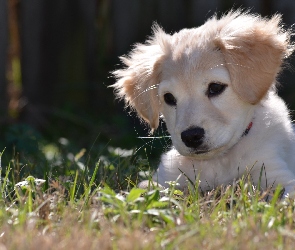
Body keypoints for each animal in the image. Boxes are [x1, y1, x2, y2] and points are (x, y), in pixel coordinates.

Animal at [112, 10, 295, 195]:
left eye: (215, 87)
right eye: (169, 98)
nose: (191, 137)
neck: (218, 161)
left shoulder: (275, 174)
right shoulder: (165, 178)